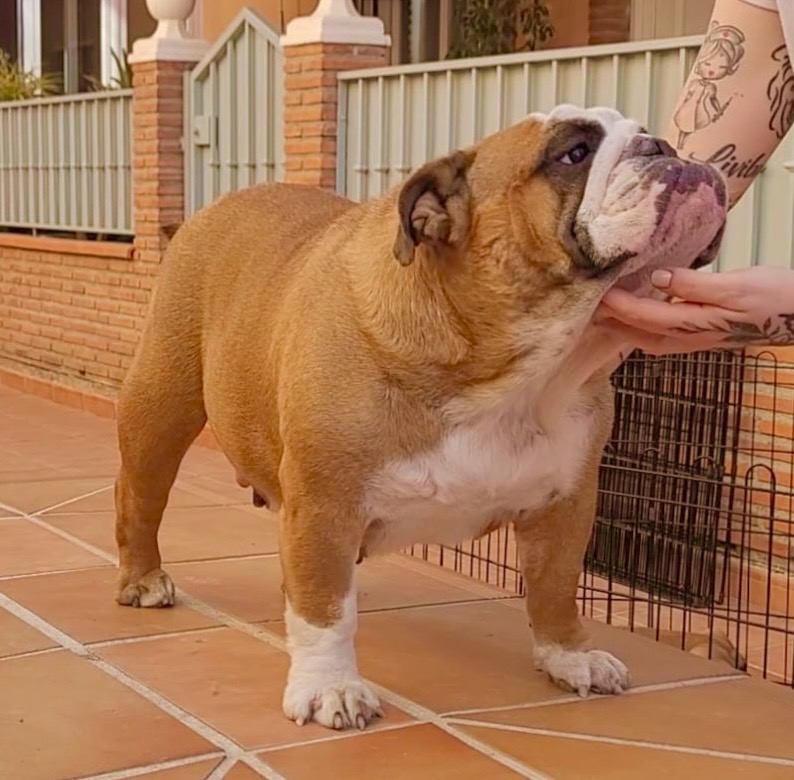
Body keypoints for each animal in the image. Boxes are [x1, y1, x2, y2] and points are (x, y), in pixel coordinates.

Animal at [113, 104, 727, 731]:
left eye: (652, 134)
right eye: (572, 154)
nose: (664, 148)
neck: (516, 377)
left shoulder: (568, 499)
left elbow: (556, 585)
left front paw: (569, 656)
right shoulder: (325, 502)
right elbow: (324, 609)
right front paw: (329, 686)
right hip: (160, 408)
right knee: (139, 497)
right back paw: (143, 580)